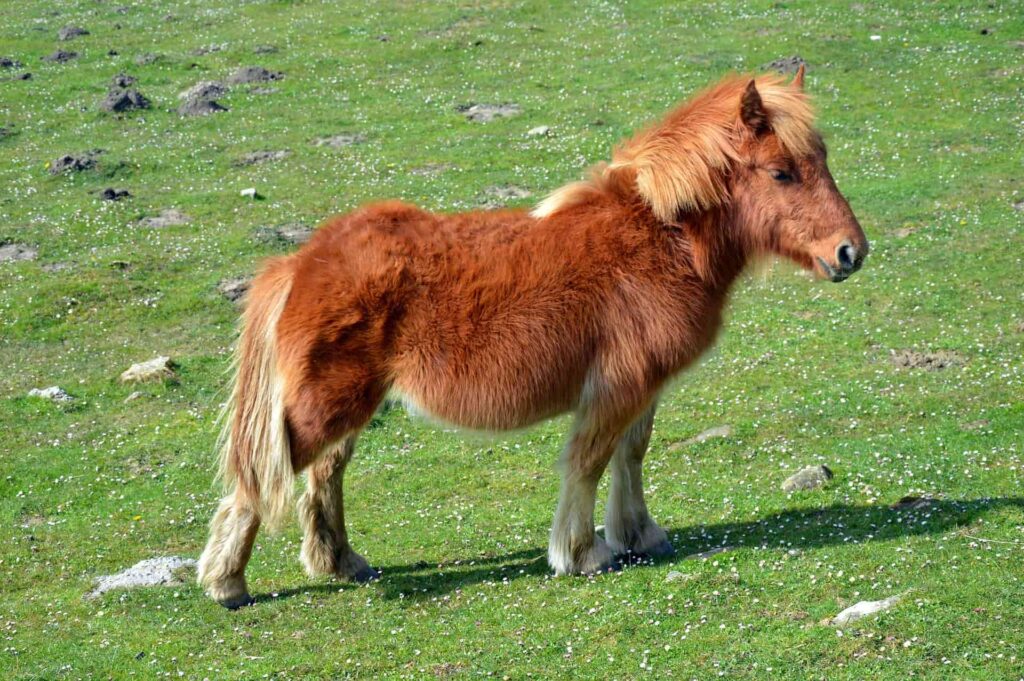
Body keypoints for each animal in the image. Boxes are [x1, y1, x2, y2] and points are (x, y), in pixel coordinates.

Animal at [197, 67, 864, 610]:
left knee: (325, 475)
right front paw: (582, 553)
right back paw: (227, 583)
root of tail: (300, 262)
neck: (658, 240)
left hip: (350, 405)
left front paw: (639, 535)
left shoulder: (644, 387)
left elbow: (631, 454)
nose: (850, 253)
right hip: (324, 407)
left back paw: (341, 563)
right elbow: (589, 461)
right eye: (781, 172)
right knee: (258, 482)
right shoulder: (619, 386)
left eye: (824, 159)